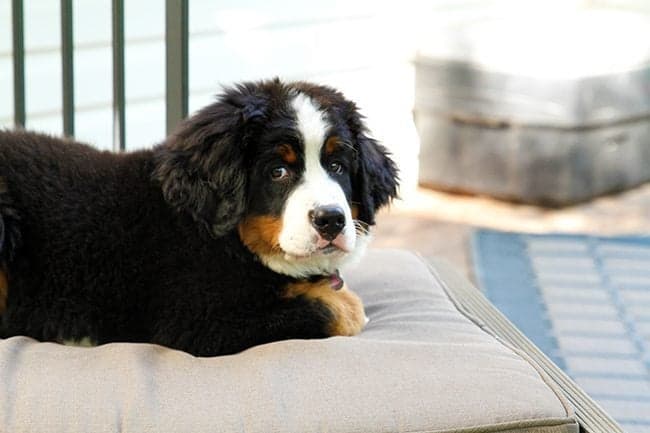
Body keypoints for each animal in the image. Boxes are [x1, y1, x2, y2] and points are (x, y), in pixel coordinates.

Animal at [0, 79, 398, 356]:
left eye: (338, 166)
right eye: (278, 172)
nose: (331, 220)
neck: (231, 242)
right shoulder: (198, 321)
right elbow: (333, 308)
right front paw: (345, 305)